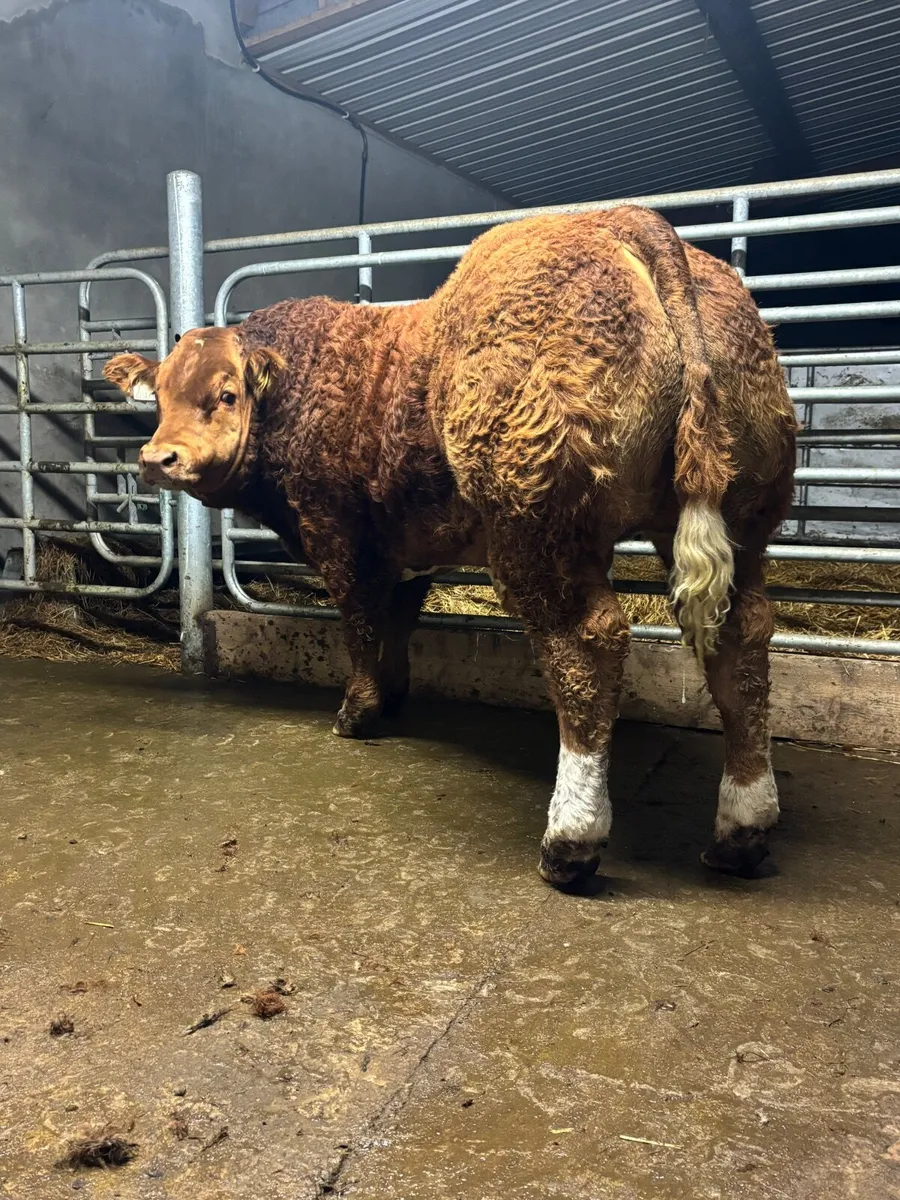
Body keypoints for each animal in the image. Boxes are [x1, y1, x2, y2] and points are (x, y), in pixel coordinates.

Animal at [105, 206, 797, 886]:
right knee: (742, 636)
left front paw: (358, 712)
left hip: (537, 525)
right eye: (158, 396)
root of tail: (623, 220)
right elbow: (397, 624)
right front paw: (393, 696)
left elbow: (360, 625)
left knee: (587, 642)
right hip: (740, 516)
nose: (159, 459)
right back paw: (742, 830)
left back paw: (570, 840)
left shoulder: (339, 536)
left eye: (225, 394)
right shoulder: (407, 550)